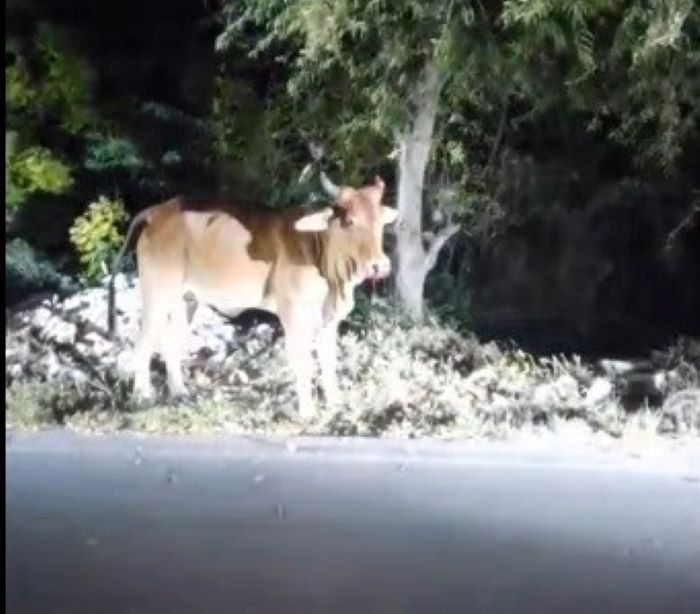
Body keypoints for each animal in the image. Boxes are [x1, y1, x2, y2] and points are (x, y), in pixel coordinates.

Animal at [108, 172, 398, 418]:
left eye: (381, 222)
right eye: (349, 221)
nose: (379, 265)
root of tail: (157, 212)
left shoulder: (329, 320)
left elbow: (328, 363)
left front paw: (335, 404)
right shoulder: (294, 315)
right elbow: (303, 363)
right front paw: (307, 412)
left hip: (186, 300)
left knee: (170, 342)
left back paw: (179, 392)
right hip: (157, 294)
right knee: (144, 341)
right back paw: (142, 396)